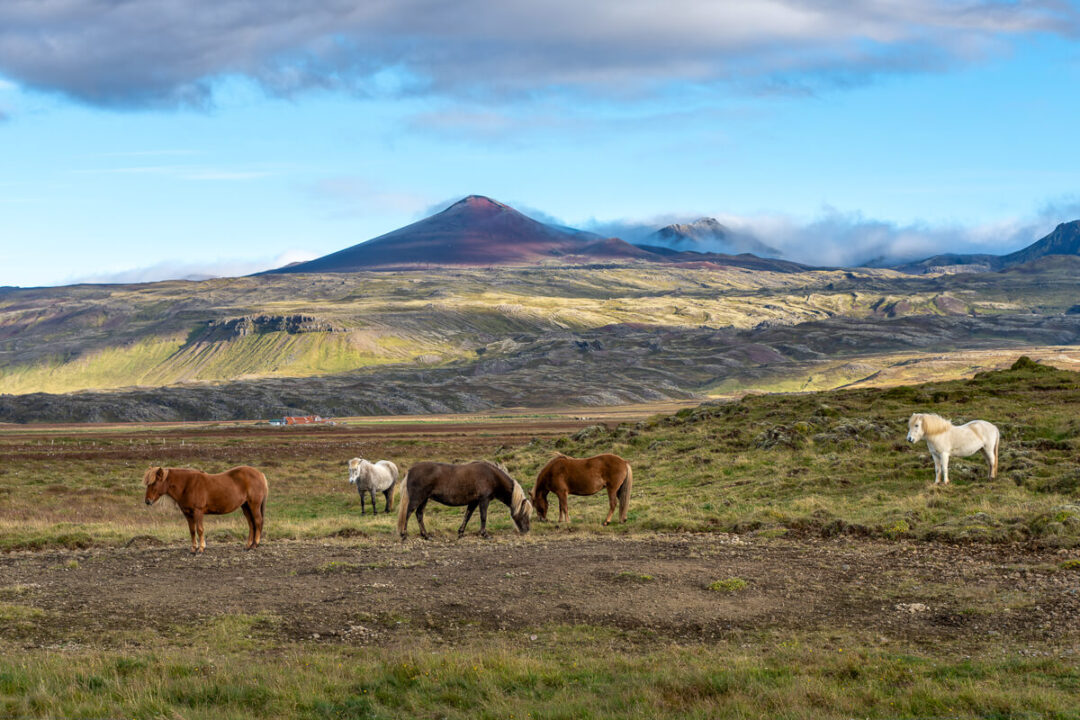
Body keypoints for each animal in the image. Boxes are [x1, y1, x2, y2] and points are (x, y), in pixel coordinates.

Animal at [396, 461, 532, 541]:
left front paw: (461, 533)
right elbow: (483, 517)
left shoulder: (473, 502)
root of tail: (410, 471)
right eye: (524, 513)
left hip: (424, 499)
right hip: (417, 499)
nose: (527, 530)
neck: (491, 476)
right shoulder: (484, 500)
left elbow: (467, 516)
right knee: (408, 513)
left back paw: (426, 536)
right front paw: (485, 534)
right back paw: (404, 534)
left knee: (419, 515)